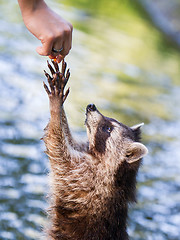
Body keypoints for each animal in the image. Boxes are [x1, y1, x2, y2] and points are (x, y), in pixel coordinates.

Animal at [42, 60, 148, 240]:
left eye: (108, 129)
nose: (91, 106)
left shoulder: (84, 179)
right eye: (110, 120)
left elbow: (57, 148)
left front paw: (55, 106)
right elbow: (70, 142)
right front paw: (61, 110)